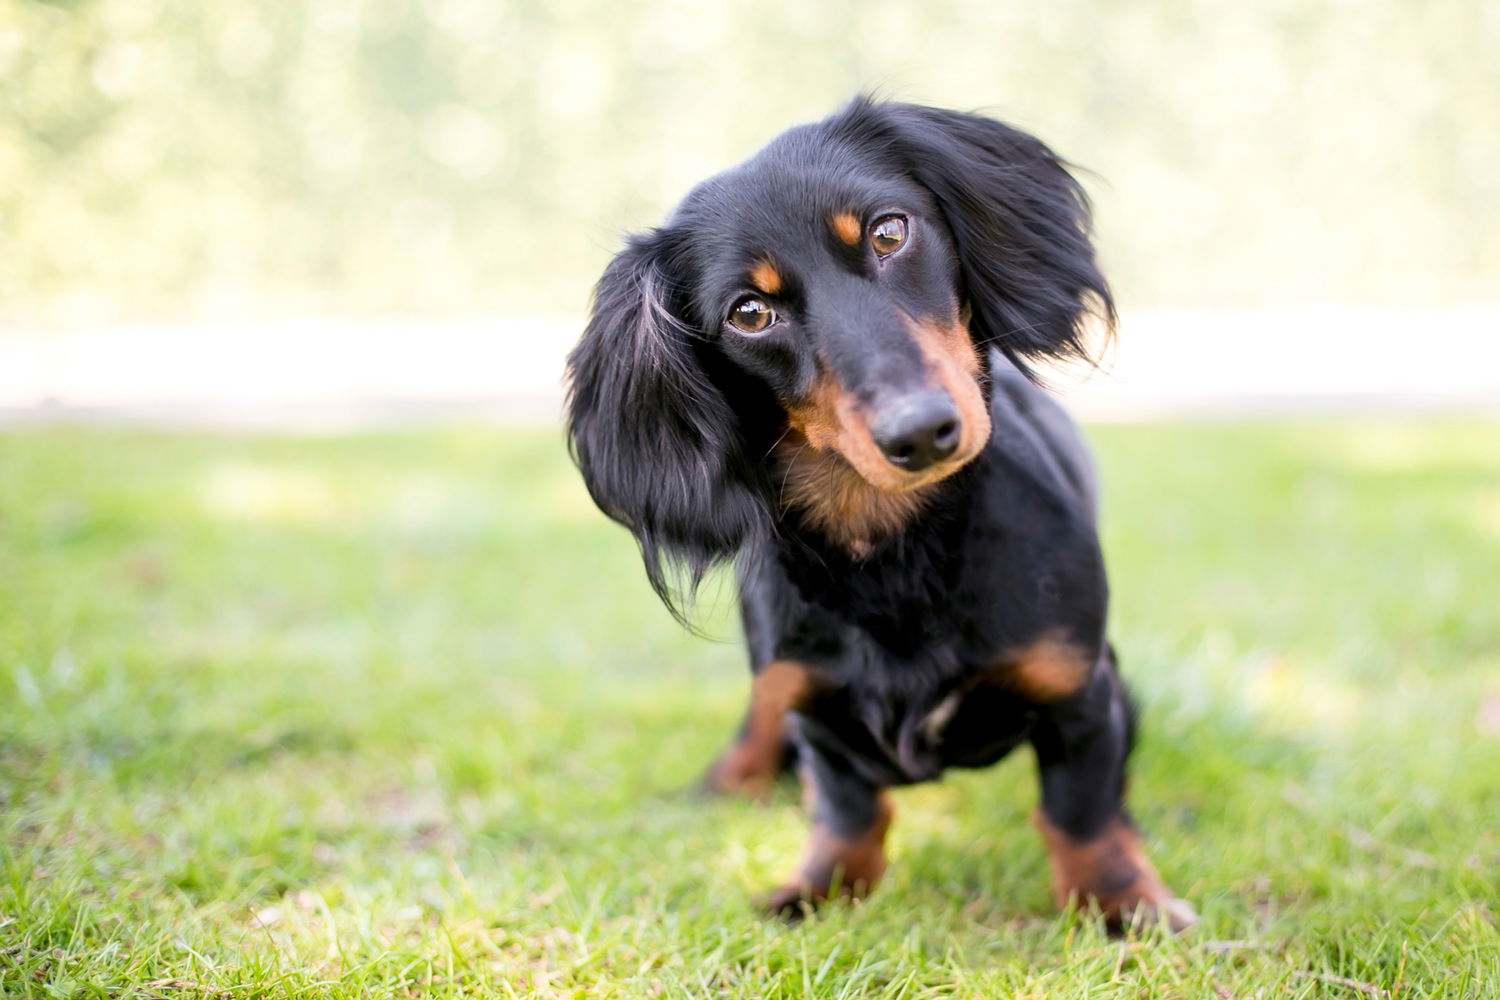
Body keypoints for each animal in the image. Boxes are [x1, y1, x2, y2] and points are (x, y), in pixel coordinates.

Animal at [564, 97, 1194, 935]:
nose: (920, 431)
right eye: (749, 312)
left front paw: (1119, 901)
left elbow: (1080, 811)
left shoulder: (1079, 689)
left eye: (890, 233)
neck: (895, 552)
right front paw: (820, 889)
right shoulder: (815, 707)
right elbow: (848, 810)